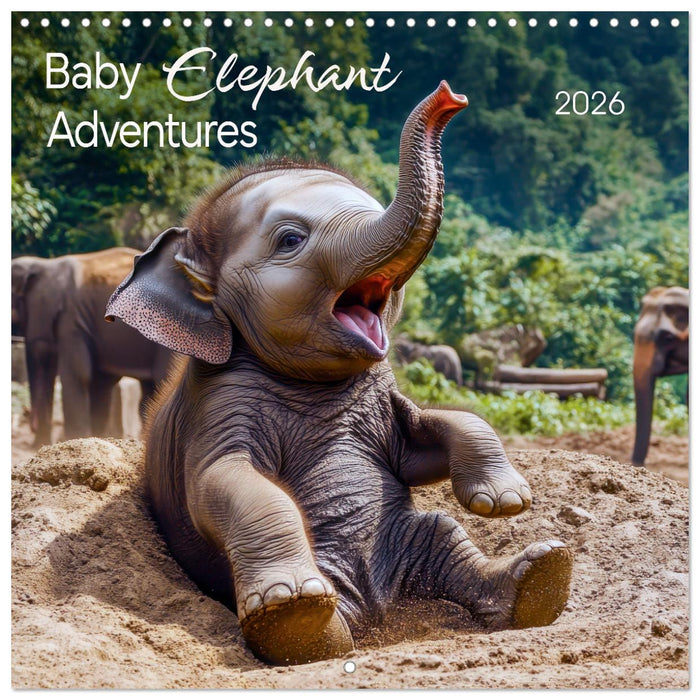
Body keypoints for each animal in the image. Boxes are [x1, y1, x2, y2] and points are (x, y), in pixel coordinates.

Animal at [11, 248, 174, 446]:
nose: (31, 425)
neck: (45, 264)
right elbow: (99, 381)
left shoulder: (71, 320)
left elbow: (80, 373)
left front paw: (75, 439)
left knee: (163, 378)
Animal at [106, 82, 573, 666]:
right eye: (290, 240)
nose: (451, 96)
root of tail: (377, 610)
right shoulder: (217, 404)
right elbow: (224, 481)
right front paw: (288, 599)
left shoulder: (382, 395)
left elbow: (422, 442)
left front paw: (506, 500)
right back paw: (301, 622)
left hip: (412, 538)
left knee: (443, 534)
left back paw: (539, 577)